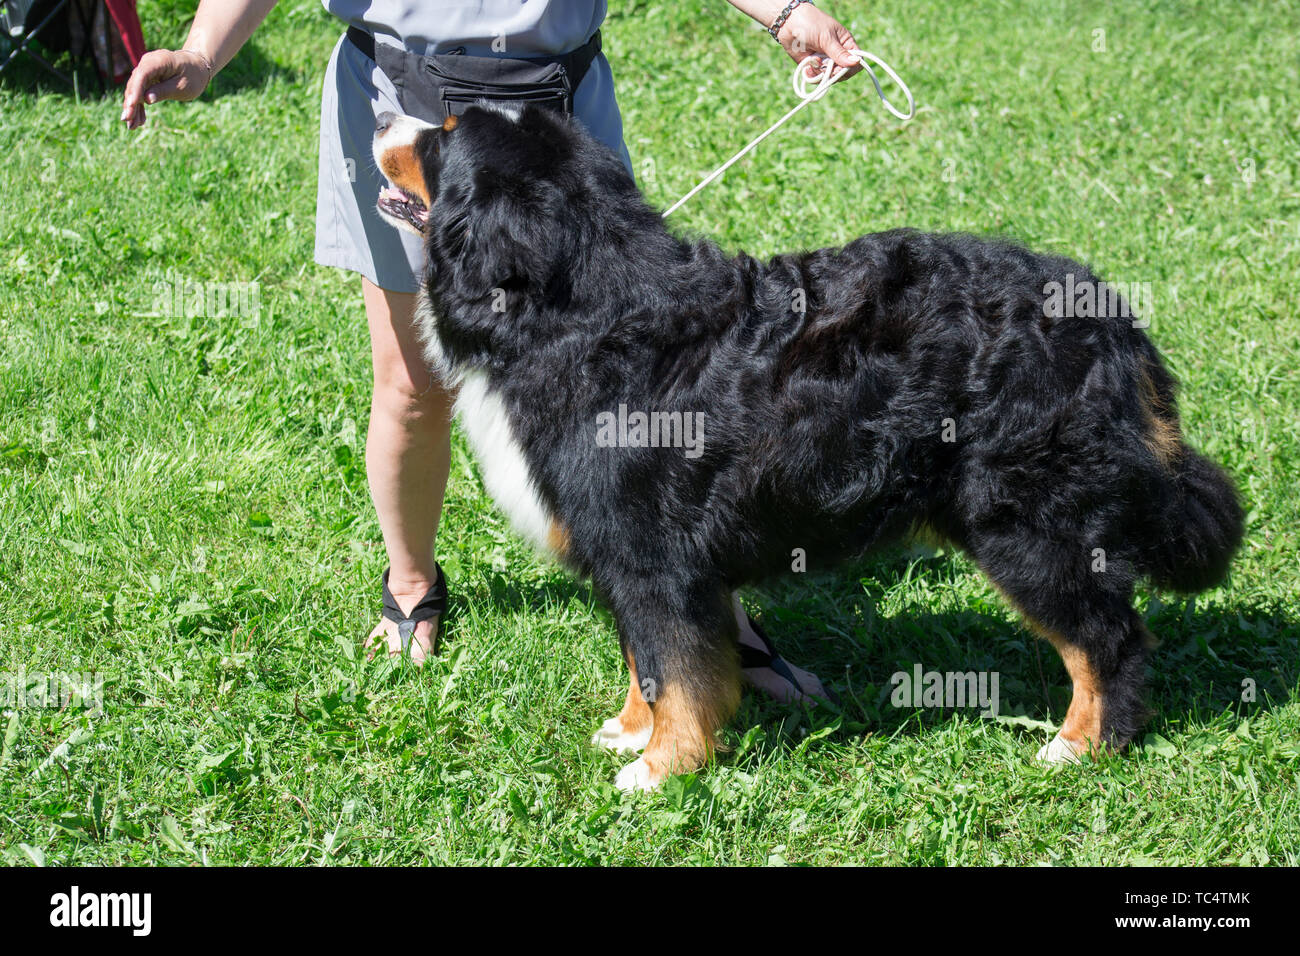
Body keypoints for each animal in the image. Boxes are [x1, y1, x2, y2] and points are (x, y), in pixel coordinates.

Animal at [371, 104, 1242, 790]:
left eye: (444, 132)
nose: (378, 117)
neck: (573, 310)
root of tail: (1108, 313)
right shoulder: (629, 557)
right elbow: (647, 661)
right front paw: (631, 730)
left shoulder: (655, 556)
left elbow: (678, 669)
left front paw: (661, 768)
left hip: (1027, 525)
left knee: (1106, 640)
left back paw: (1082, 746)